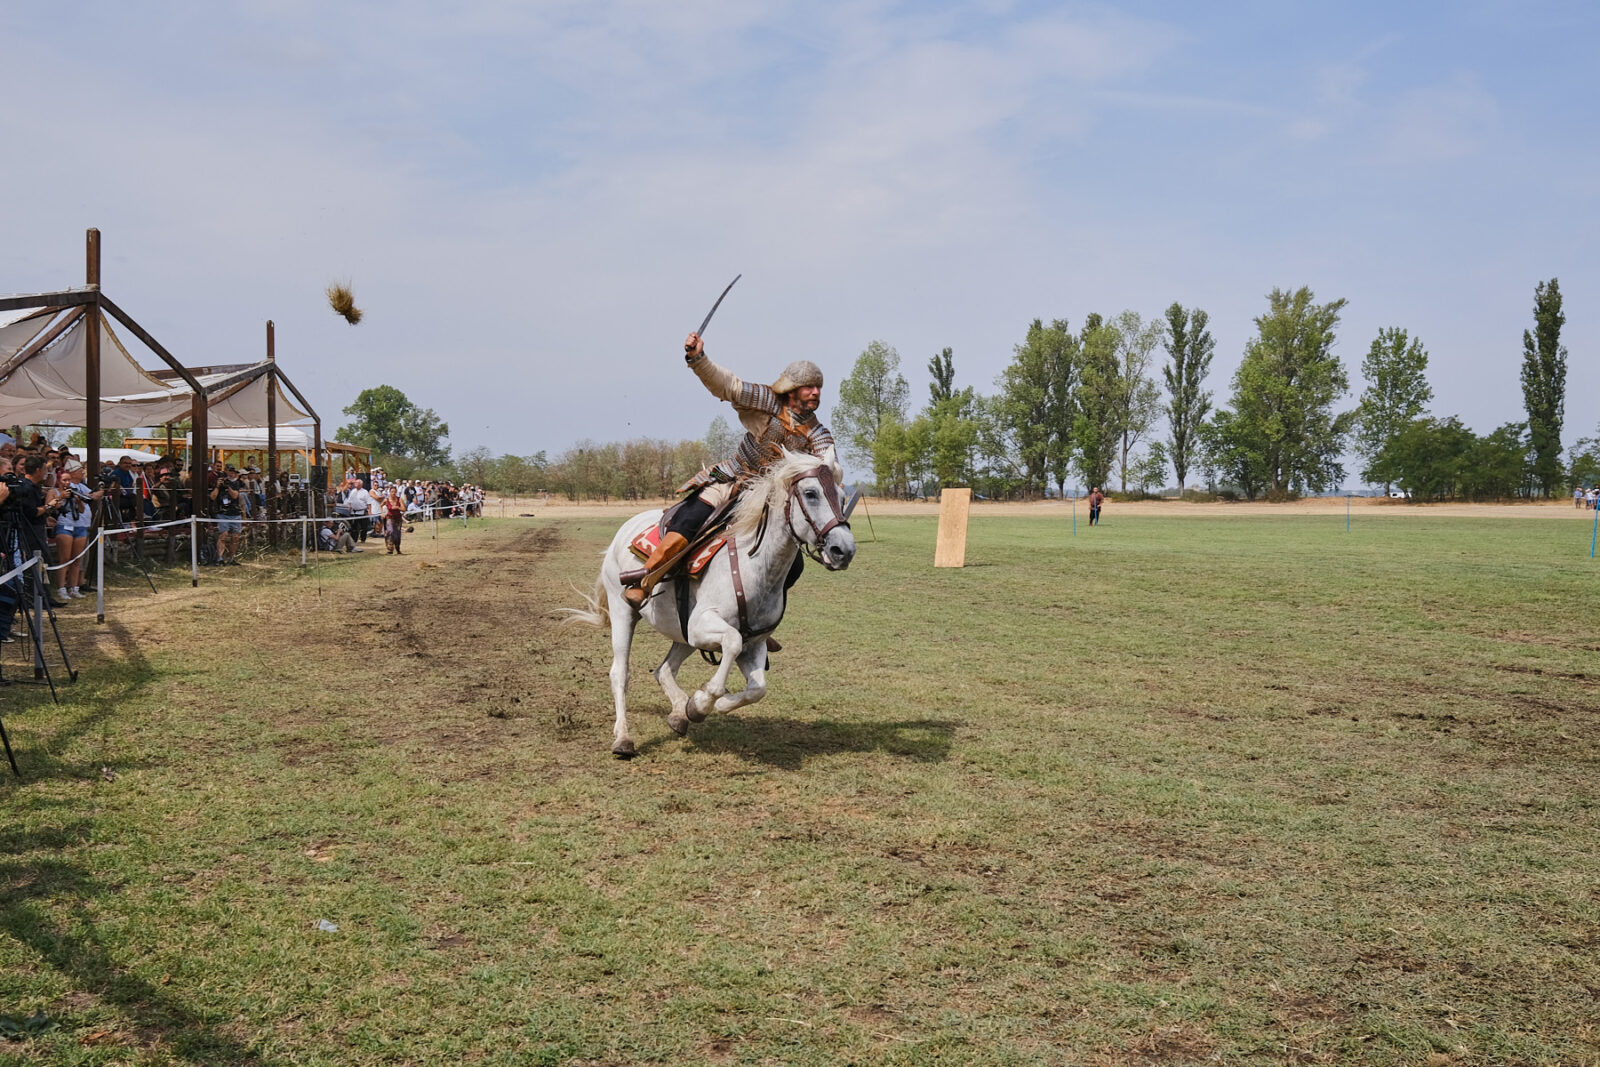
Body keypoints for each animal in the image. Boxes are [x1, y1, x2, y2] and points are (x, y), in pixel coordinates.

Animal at [566, 451, 857, 758]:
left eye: (841, 496)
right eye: (811, 493)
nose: (844, 550)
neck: (754, 566)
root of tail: (623, 531)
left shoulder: (753, 643)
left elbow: (758, 689)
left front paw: (700, 706)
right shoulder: (704, 626)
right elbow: (731, 643)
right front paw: (704, 702)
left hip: (682, 634)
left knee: (664, 670)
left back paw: (679, 714)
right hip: (624, 612)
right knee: (620, 673)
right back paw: (623, 738)